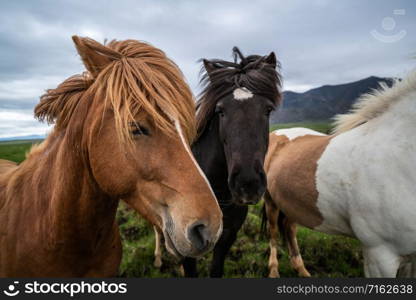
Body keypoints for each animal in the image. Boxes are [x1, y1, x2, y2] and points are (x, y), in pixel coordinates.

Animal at [264, 71, 416, 278]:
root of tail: (277, 134)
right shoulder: (379, 255)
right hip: (270, 200)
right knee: (272, 233)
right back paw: (274, 271)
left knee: (289, 228)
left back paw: (301, 270)